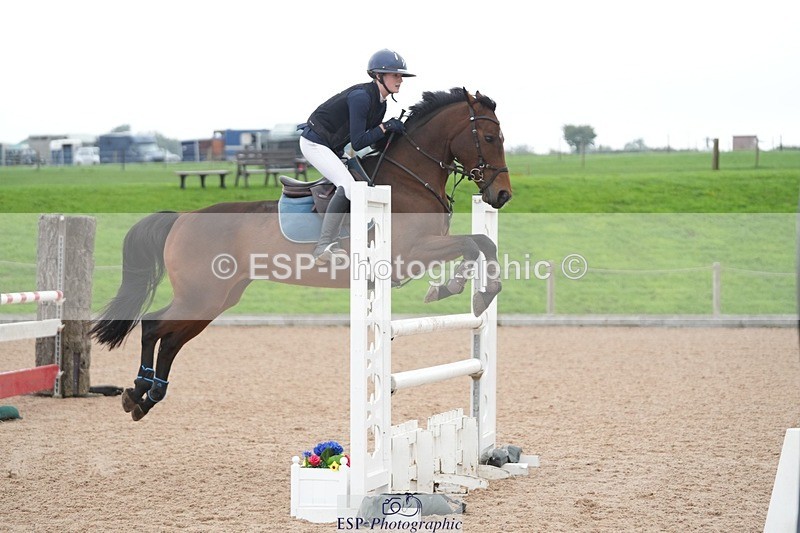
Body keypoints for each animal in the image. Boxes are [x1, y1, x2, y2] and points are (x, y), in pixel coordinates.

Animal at [90, 87, 513, 421]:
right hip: (202, 295)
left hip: (217, 298)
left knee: (171, 339)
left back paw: (146, 396)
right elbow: (475, 243)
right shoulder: (410, 253)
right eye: (491, 136)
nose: (502, 195)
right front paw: (460, 290)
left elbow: (482, 244)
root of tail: (182, 217)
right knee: (153, 325)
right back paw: (139, 390)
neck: (411, 178)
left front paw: (470, 290)